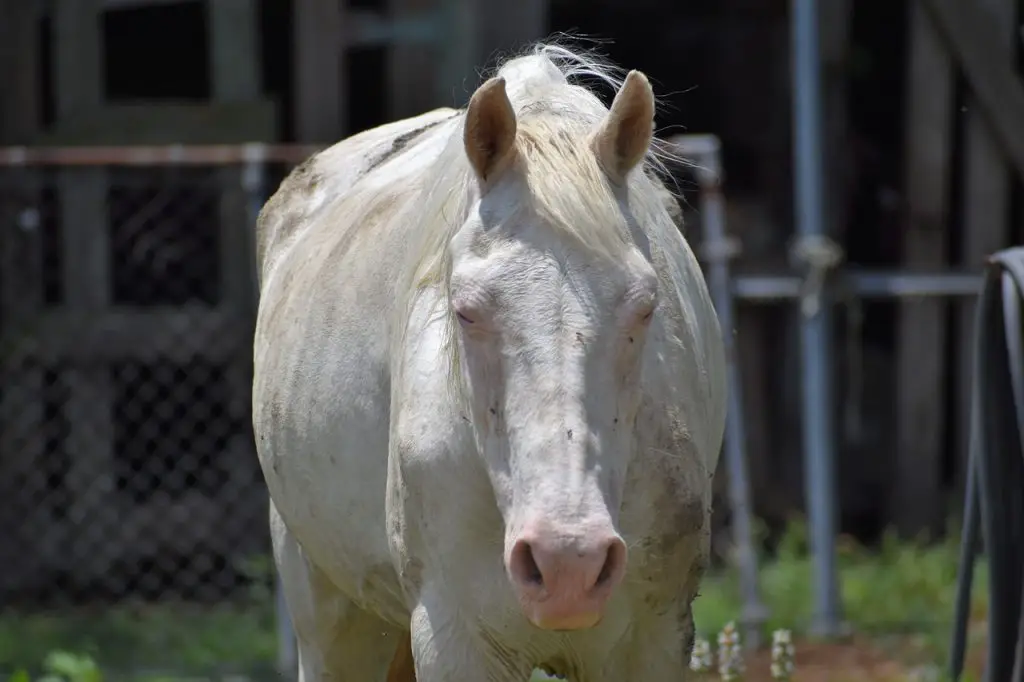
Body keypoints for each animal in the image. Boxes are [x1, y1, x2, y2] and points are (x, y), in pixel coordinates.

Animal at [250, 43, 724, 679]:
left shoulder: (652, 642)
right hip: (328, 618)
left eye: (646, 305)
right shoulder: (456, 640)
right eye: (466, 310)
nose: (567, 562)